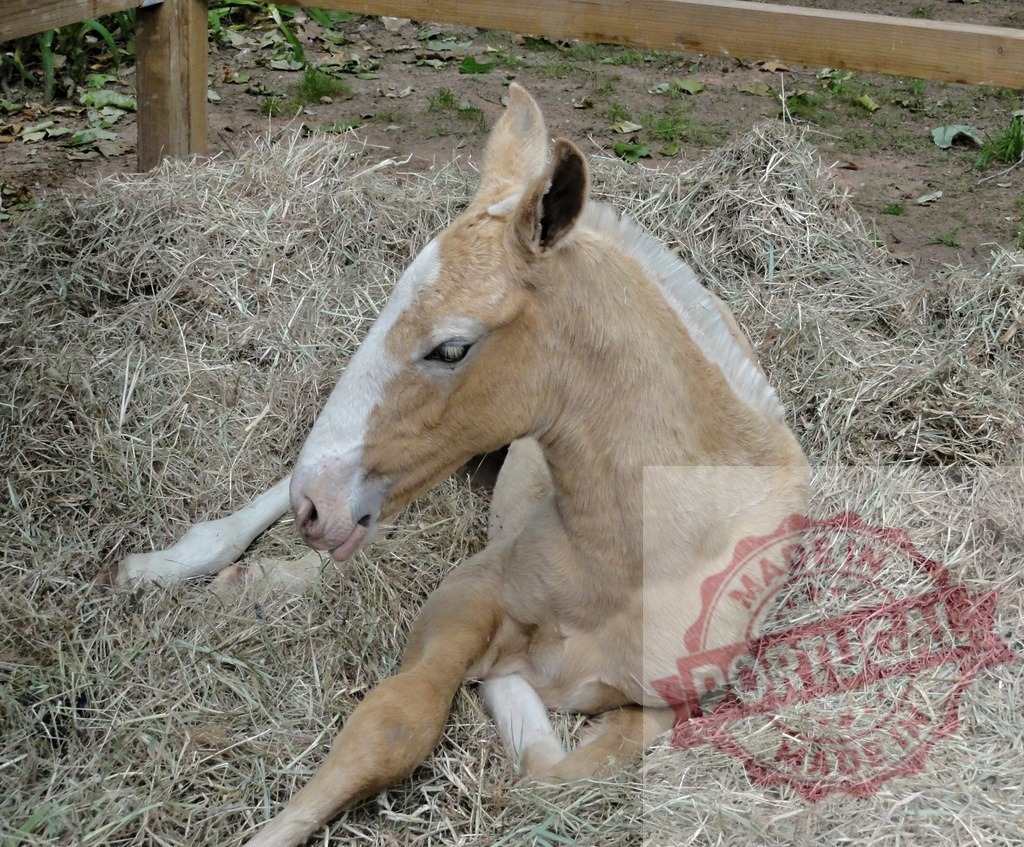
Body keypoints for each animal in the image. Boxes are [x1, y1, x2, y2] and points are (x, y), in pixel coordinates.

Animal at [120, 84, 808, 847]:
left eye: (451, 347)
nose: (315, 505)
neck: (637, 563)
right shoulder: (466, 594)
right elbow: (394, 722)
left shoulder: (669, 705)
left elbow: (564, 769)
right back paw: (188, 567)